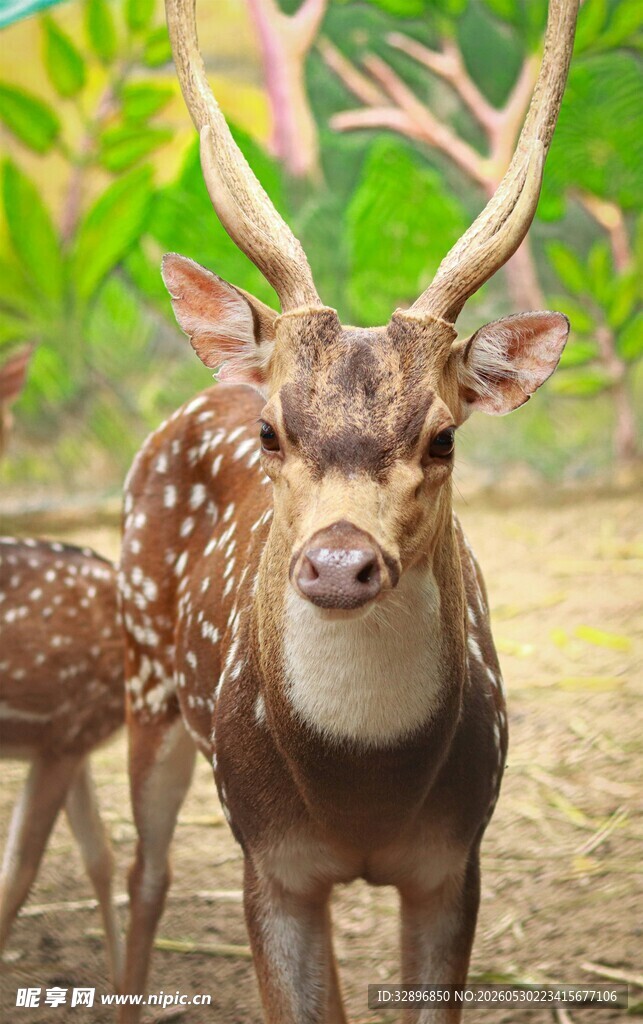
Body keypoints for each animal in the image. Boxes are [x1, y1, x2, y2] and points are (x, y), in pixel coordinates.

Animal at [118, 0, 579, 1020]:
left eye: (443, 437)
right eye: (272, 431)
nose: (337, 562)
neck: (359, 791)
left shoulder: (453, 858)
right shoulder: (269, 859)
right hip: (145, 678)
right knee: (145, 872)